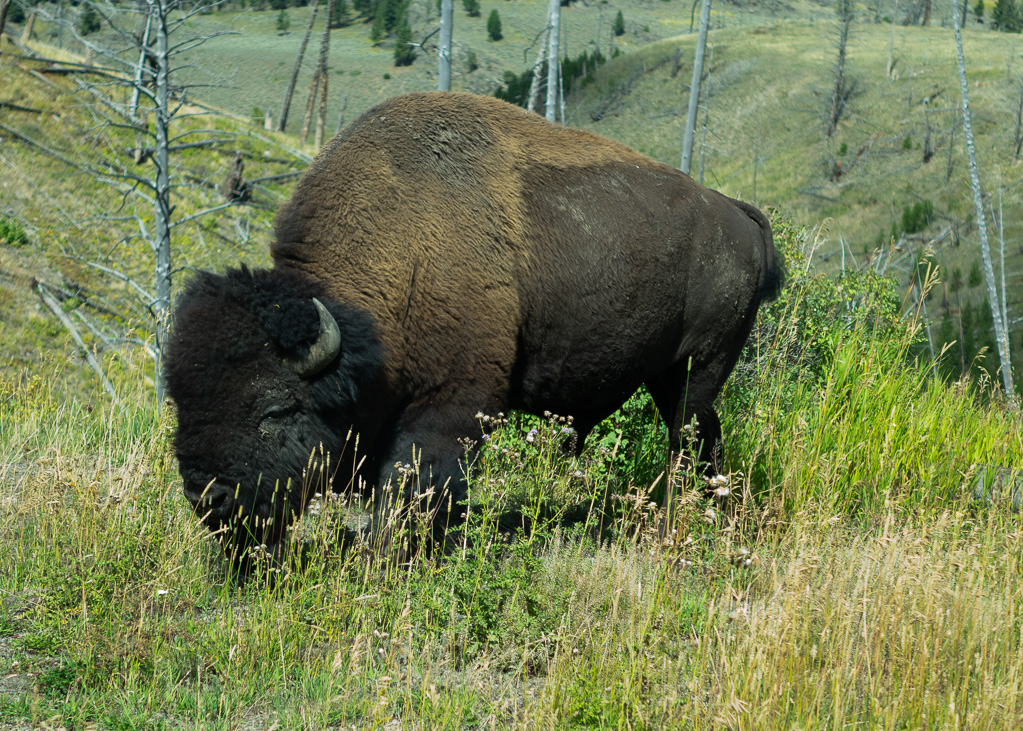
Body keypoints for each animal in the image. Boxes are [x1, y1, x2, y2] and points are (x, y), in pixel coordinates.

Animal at [163, 89, 777, 560]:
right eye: (180, 399)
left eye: (275, 409)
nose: (206, 498)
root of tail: (737, 214)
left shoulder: (449, 408)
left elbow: (411, 487)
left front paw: (392, 558)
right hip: (670, 377)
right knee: (705, 437)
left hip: (699, 367)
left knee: (684, 439)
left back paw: (671, 527)